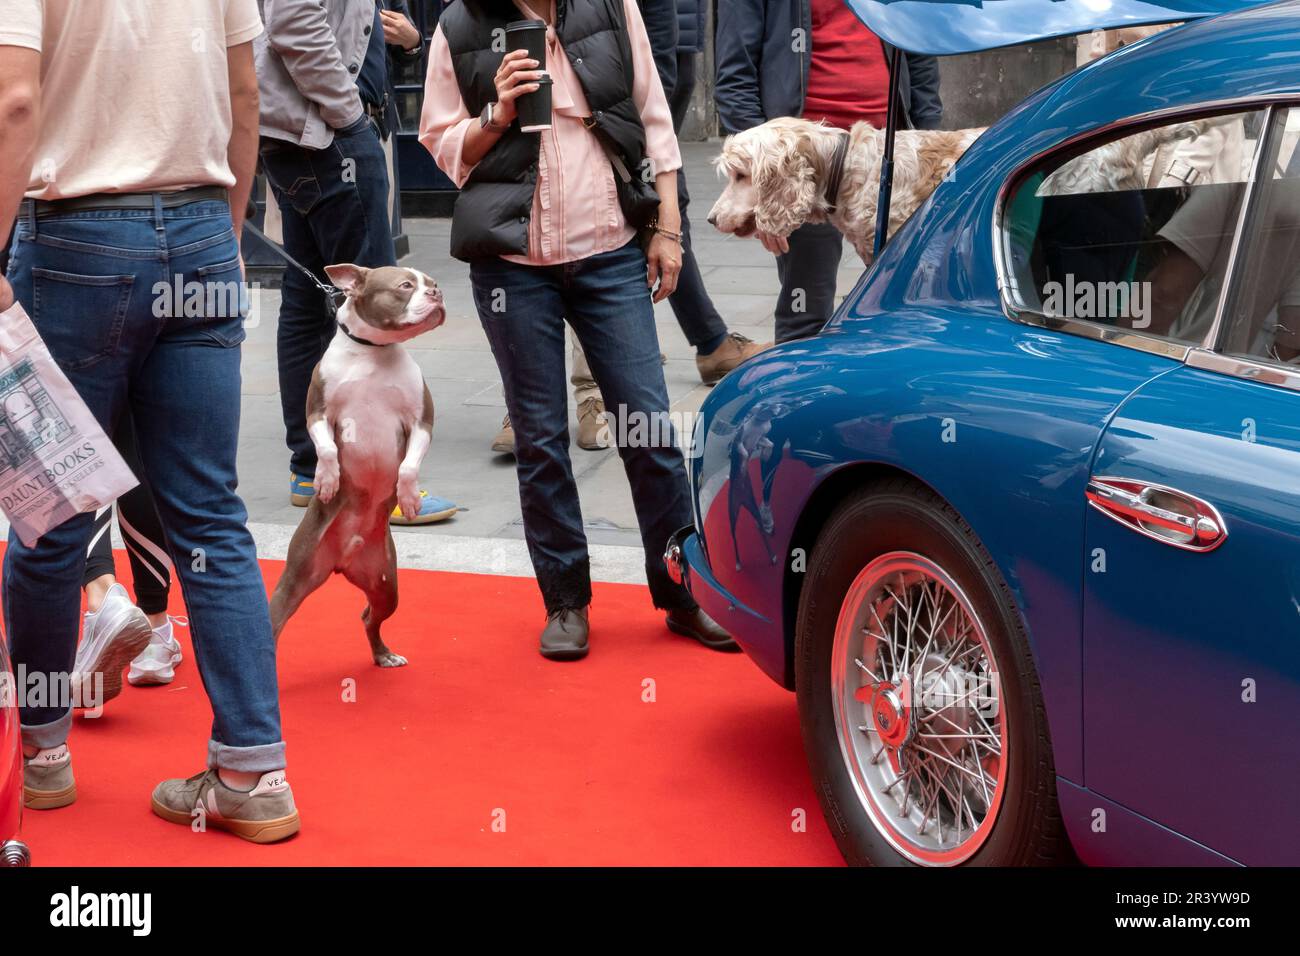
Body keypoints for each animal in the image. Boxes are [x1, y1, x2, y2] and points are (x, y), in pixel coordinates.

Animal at [266, 261, 444, 665]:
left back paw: (384, 655)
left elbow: (408, 465)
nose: (437, 294)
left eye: (431, 283)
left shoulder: (420, 421)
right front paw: (327, 479)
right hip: (298, 573)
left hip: (385, 584)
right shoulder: (318, 412)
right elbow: (328, 449)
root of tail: (341, 561)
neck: (372, 352)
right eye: (405, 285)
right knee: (274, 620)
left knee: (368, 616)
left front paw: (409, 497)